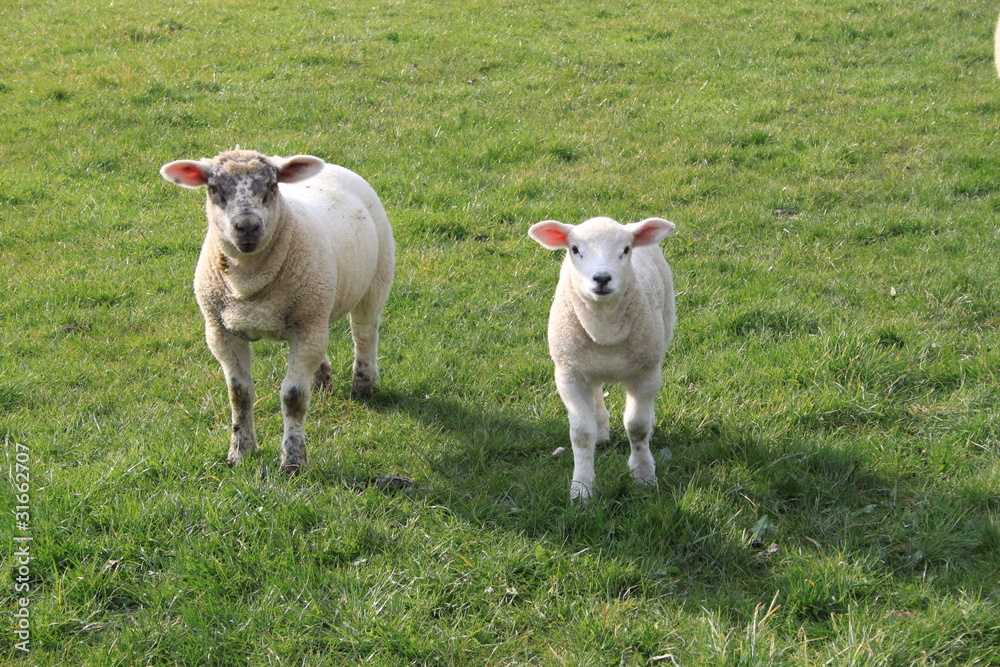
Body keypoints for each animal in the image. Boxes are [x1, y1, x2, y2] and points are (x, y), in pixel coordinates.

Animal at [160, 149, 395, 474]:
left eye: (271, 186)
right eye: (214, 188)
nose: (247, 227)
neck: (248, 282)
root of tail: (331, 166)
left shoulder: (305, 327)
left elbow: (293, 397)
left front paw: (293, 461)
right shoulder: (221, 332)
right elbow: (239, 395)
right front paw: (240, 453)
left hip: (375, 279)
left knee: (364, 334)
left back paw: (363, 384)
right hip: (315, 309)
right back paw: (322, 380)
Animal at [528, 216, 676, 502]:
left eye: (626, 249)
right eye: (575, 249)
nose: (602, 278)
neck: (605, 332)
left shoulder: (647, 372)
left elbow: (637, 427)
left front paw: (643, 476)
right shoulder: (569, 375)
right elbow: (581, 434)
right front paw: (582, 489)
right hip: (584, 363)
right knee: (596, 393)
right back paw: (601, 431)